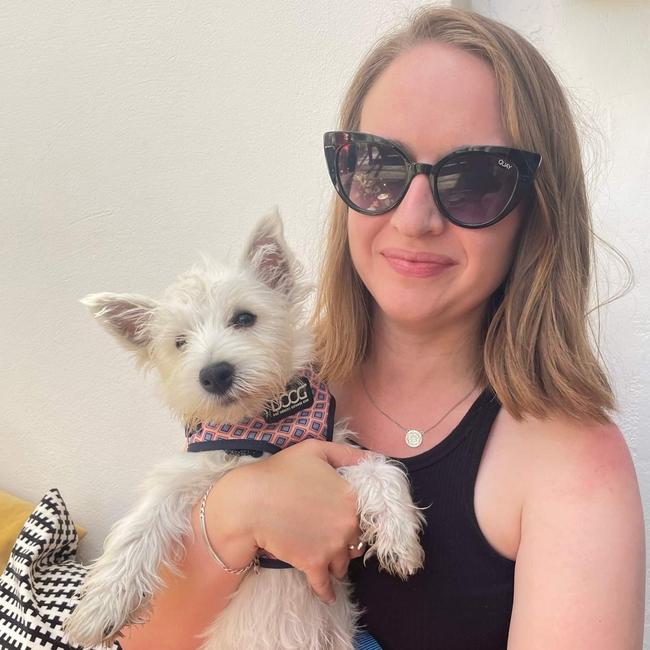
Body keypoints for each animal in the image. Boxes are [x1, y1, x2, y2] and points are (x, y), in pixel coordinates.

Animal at [63, 213, 422, 648]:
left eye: (245, 318)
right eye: (179, 342)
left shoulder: (332, 448)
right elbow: (143, 521)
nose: (215, 373)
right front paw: (103, 604)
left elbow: (379, 467)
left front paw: (399, 537)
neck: (262, 425)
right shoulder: (192, 473)